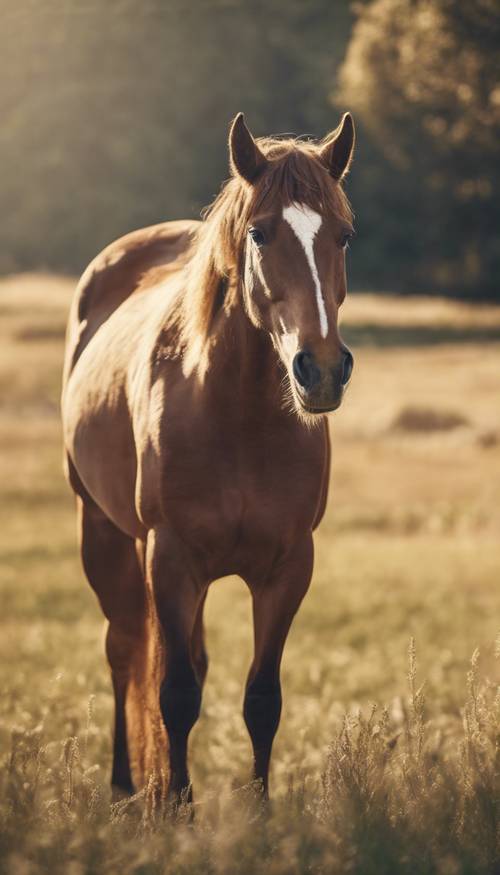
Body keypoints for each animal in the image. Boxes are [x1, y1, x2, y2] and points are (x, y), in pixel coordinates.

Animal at [61, 111, 356, 808]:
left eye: (344, 237)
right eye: (261, 232)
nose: (322, 370)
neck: (237, 415)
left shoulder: (287, 567)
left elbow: (261, 699)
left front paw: (260, 810)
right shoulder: (169, 559)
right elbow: (174, 694)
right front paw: (177, 807)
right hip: (103, 533)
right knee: (125, 650)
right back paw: (124, 786)